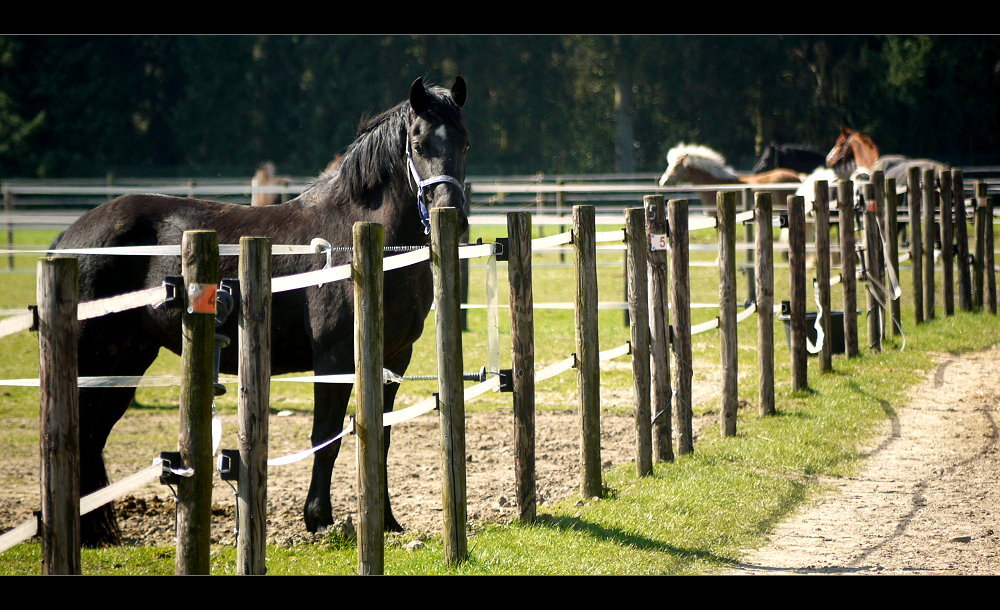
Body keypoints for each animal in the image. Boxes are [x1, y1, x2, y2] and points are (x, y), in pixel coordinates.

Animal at [47, 77, 468, 548]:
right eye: (417, 142)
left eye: (464, 142)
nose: (451, 213)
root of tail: (69, 239)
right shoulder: (335, 356)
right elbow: (326, 436)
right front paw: (318, 518)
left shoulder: (394, 358)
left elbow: (382, 433)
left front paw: (388, 521)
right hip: (94, 360)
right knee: (80, 435)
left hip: (124, 363)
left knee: (91, 435)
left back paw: (93, 533)